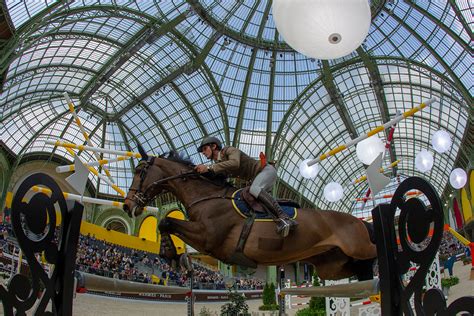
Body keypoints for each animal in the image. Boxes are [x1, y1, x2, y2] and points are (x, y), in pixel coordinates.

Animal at [122, 147, 378, 280]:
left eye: (140, 171)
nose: (127, 205)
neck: (208, 195)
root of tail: (360, 222)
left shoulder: (208, 238)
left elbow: (166, 221)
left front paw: (173, 256)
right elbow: (165, 223)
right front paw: (175, 257)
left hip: (359, 249)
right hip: (332, 266)